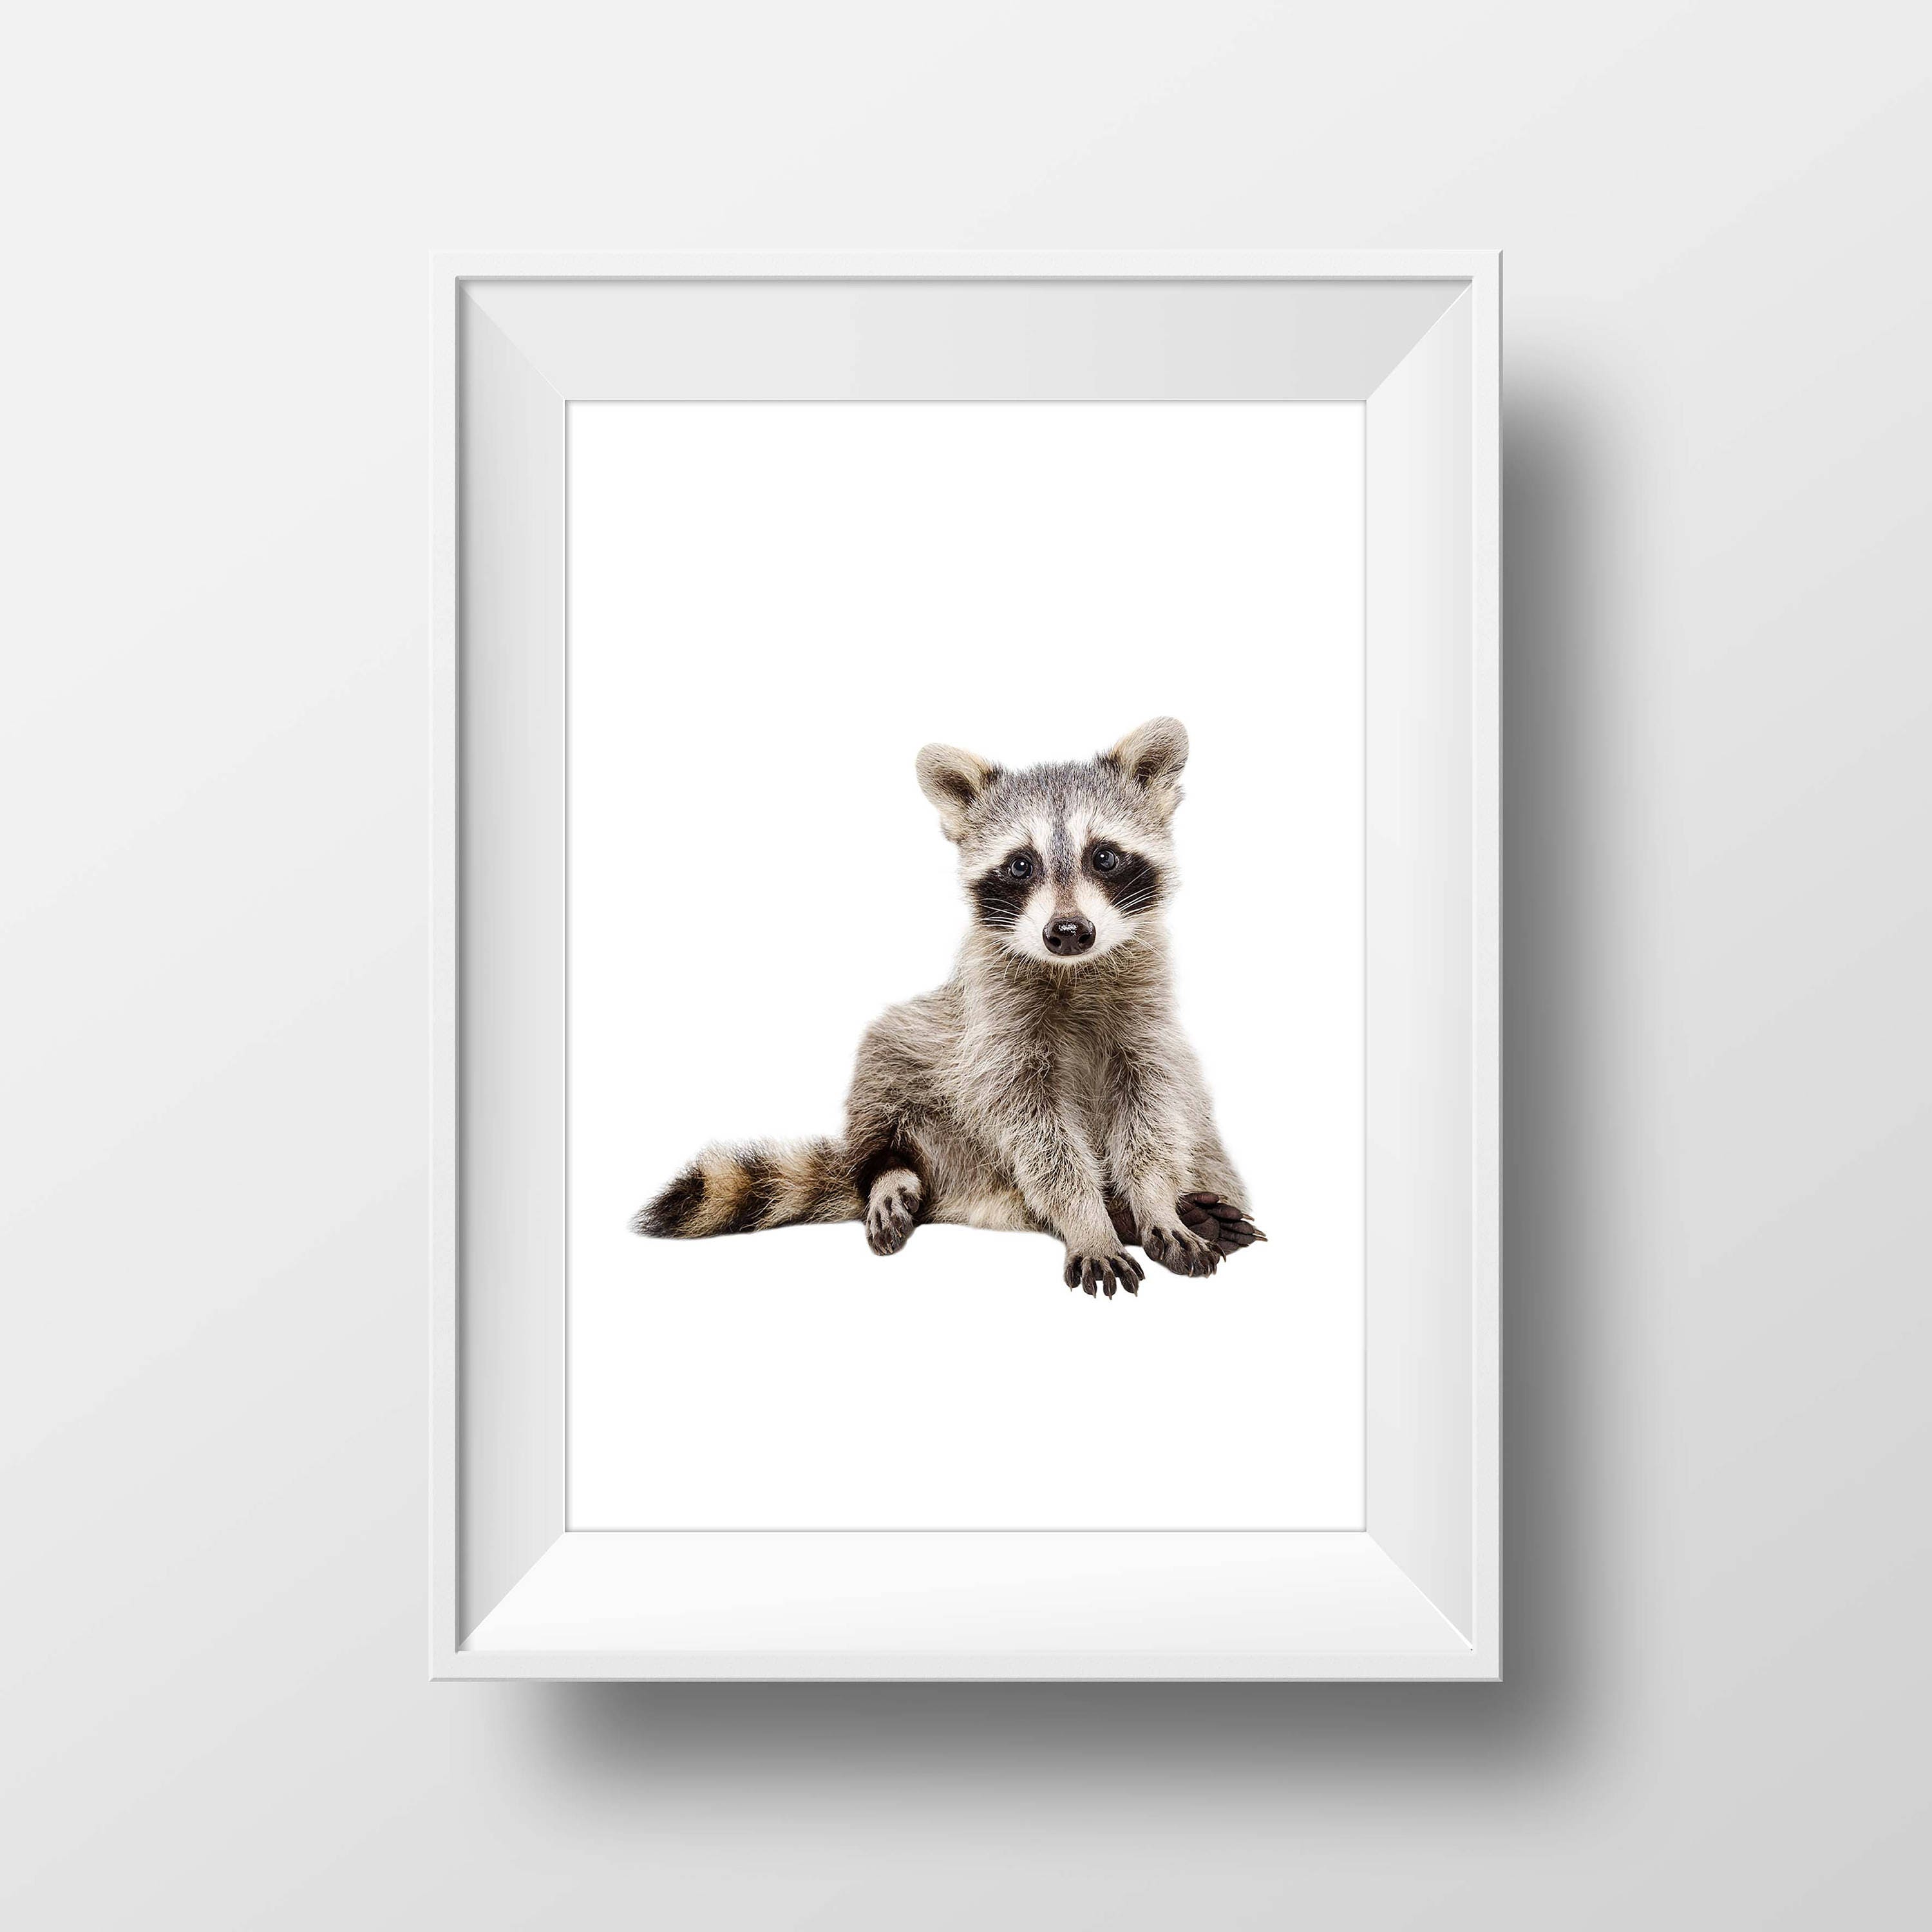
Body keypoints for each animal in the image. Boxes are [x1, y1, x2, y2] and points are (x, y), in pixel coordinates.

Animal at [633, 717, 1263, 1297]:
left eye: (1104, 857)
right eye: (1021, 864)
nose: (1068, 932)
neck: (1071, 971)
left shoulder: (1146, 1020)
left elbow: (1154, 1110)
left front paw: (1154, 1201)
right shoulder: (992, 1027)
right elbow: (1037, 1136)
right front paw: (1088, 1218)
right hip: (933, 1082)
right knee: (886, 1058)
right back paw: (894, 1173)